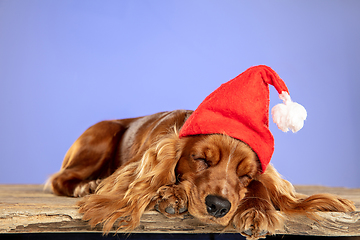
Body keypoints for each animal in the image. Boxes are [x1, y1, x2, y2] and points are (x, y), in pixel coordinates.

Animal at [49, 109, 356, 239]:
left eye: (246, 175)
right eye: (201, 160)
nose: (218, 207)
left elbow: (260, 189)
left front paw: (257, 210)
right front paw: (173, 194)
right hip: (101, 135)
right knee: (59, 178)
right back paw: (87, 186)